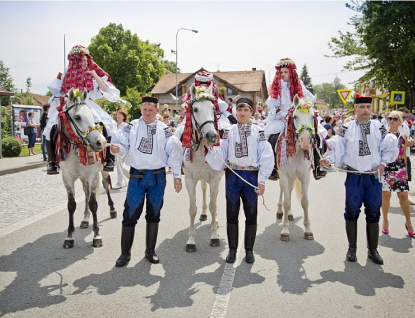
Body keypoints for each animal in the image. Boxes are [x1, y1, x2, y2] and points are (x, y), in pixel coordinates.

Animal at [58, 87, 117, 248]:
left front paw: (96, 236)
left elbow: (93, 203)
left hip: (101, 172)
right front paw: (69, 236)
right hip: (83, 177)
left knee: (105, 186)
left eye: (92, 115)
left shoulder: (92, 174)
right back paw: (85, 219)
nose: (101, 142)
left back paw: (112, 210)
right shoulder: (67, 177)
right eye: (77, 117)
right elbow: (71, 205)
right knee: (85, 192)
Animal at [180, 83, 224, 252]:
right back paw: (205, 214)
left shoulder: (214, 178)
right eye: (196, 109)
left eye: (213, 108)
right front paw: (191, 240)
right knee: (205, 191)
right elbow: (192, 209)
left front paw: (214, 236)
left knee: (214, 199)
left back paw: (214, 221)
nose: (212, 136)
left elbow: (214, 205)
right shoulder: (189, 179)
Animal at [278, 94, 316, 241]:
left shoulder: (305, 176)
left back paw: (288, 214)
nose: (305, 141)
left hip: (294, 178)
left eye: (313, 117)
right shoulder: (284, 175)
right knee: (283, 192)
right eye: (295, 117)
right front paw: (285, 231)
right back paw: (280, 211)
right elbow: (286, 202)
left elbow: (305, 202)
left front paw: (308, 230)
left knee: (289, 189)